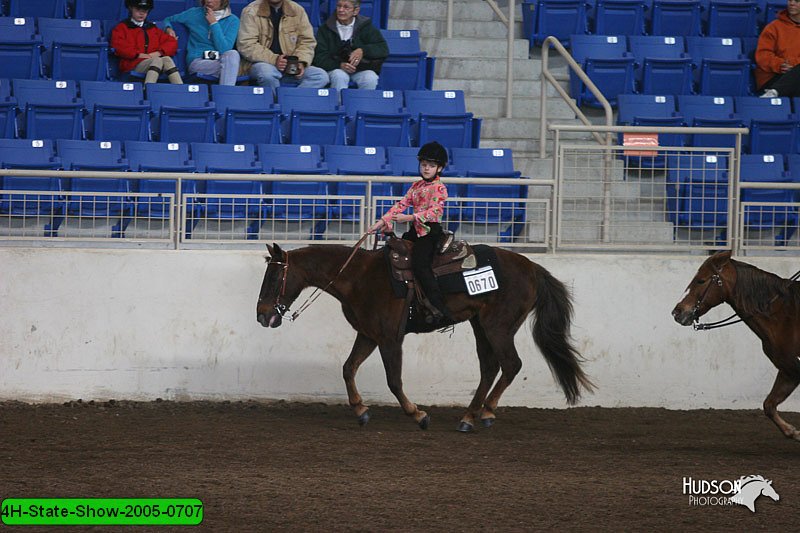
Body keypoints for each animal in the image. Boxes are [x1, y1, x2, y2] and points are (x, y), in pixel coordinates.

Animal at [256, 243, 592, 430]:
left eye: (273, 276)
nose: (261, 315)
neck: (359, 277)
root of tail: (532, 267)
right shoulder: (369, 334)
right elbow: (348, 368)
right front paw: (361, 411)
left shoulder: (390, 338)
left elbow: (394, 381)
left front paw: (418, 415)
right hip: (481, 326)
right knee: (489, 368)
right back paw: (469, 417)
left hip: (498, 326)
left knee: (510, 365)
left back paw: (485, 412)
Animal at [672, 250, 800, 440]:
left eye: (701, 280)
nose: (677, 312)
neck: (786, 315)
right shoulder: (788, 368)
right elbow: (768, 405)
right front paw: (792, 432)